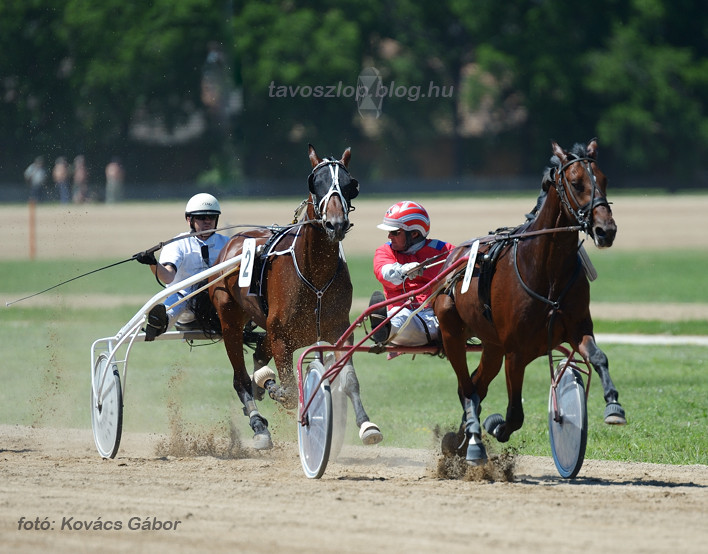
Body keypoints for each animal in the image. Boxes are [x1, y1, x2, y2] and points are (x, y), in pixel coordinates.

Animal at [207, 143, 382, 448]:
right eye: (316, 182)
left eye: (350, 184)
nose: (336, 224)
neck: (315, 276)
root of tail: (234, 241)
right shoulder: (281, 337)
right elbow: (289, 392)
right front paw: (273, 388)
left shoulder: (337, 330)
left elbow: (349, 379)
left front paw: (366, 425)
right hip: (230, 319)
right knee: (240, 378)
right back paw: (258, 423)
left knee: (258, 356)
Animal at [434, 138, 628, 462]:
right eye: (576, 182)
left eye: (604, 180)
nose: (606, 230)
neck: (547, 272)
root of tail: (453, 257)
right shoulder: (516, 351)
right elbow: (514, 414)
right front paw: (495, 426)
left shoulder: (576, 328)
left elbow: (599, 357)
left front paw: (614, 406)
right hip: (452, 333)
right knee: (467, 387)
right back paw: (472, 441)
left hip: (492, 346)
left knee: (476, 385)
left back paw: (463, 439)